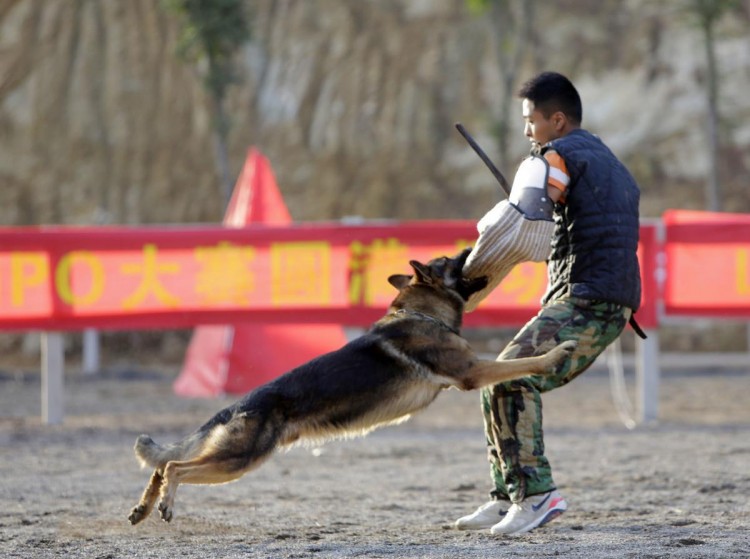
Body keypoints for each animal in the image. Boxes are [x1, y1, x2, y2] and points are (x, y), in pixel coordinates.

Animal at [129, 249, 576, 524]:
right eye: (451, 260)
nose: (472, 242)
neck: (423, 313)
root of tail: (235, 406)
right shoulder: (473, 372)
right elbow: (519, 362)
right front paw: (557, 352)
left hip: (232, 458)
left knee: (162, 466)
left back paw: (143, 508)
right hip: (239, 459)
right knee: (173, 467)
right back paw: (165, 503)